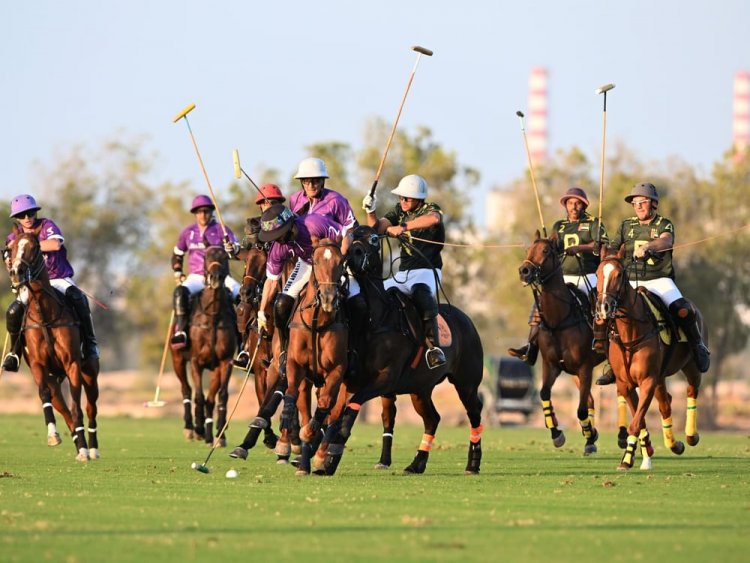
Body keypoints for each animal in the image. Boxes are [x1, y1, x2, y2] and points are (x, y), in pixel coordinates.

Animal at [6, 230, 100, 462]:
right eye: (11, 249)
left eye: (34, 247)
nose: (16, 272)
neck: (44, 314)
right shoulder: (39, 366)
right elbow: (44, 396)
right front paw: (53, 436)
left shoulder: (72, 364)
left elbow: (77, 408)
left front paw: (85, 450)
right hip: (54, 380)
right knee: (64, 410)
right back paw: (78, 444)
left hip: (89, 373)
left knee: (90, 407)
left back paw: (92, 449)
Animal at [170, 245, 235, 448]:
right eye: (206, 256)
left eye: (225, 257)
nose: (215, 278)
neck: (213, 316)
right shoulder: (195, 362)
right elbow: (198, 396)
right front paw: (198, 429)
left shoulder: (225, 362)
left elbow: (221, 396)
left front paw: (220, 434)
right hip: (177, 360)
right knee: (186, 390)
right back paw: (191, 429)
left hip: (213, 369)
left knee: (210, 399)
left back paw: (209, 434)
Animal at [516, 231, 612, 456]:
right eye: (528, 249)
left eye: (545, 250)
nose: (524, 271)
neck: (559, 319)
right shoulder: (551, 365)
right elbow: (544, 393)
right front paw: (557, 433)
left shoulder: (585, 367)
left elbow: (581, 409)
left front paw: (589, 439)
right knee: (591, 400)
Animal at [592, 247, 704, 472]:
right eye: (598, 274)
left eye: (619, 274)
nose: (604, 307)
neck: (630, 334)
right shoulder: (626, 384)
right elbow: (640, 420)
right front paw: (639, 455)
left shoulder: (647, 381)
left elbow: (636, 422)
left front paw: (627, 459)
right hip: (661, 377)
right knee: (666, 403)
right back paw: (674, 444)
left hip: (690, 365)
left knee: (692, 389)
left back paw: (690, 436)